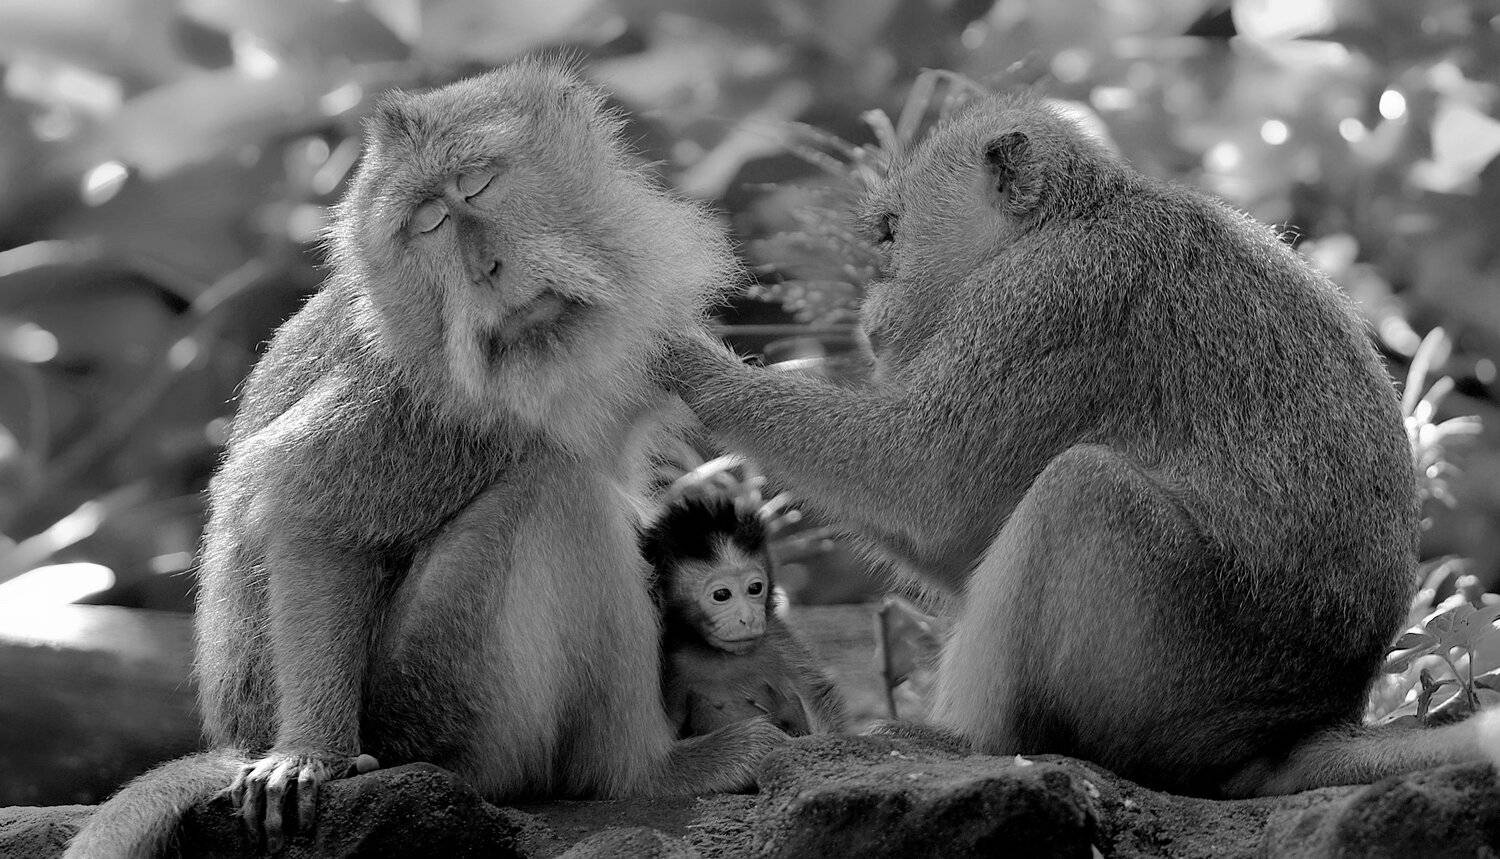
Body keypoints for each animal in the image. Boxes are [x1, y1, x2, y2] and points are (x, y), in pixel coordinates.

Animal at [63, 57, 784, 859]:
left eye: (477, 184)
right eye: (428, 224)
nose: (487, 269)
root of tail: (236, 736)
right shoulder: (414, 402)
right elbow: (307, 509)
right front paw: (311, 754)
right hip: (437, 703)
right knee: (558, 493)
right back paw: (639, 770)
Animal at [642, 494, 849, 737]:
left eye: (755, 588)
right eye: (722, 594)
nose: (748, 618)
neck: (718, 655)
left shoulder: (776, 639)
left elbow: (815, 699)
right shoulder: (671, 664)